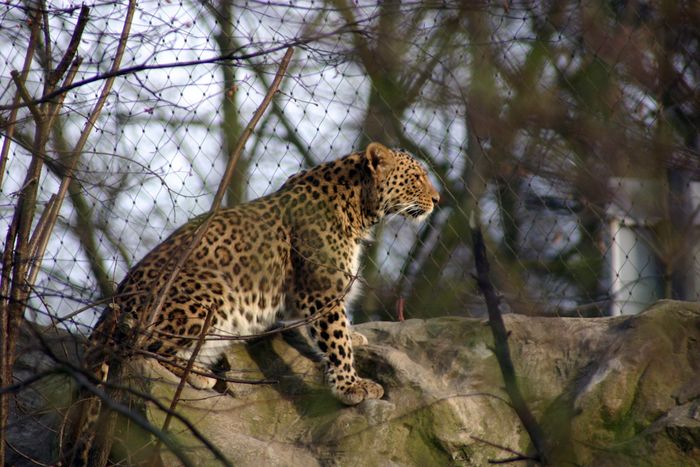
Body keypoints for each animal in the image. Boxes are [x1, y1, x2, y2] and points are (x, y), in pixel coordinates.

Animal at [64, 143, 438, 464]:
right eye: (417, 176)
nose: (437, 199)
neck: (359, 206)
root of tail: (110, 309)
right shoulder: (319, 290)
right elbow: (335, 340)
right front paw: (351, 386)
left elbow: (334, 332)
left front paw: (356, 340)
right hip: (206, 291)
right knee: (143, 350)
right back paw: (199, 375)